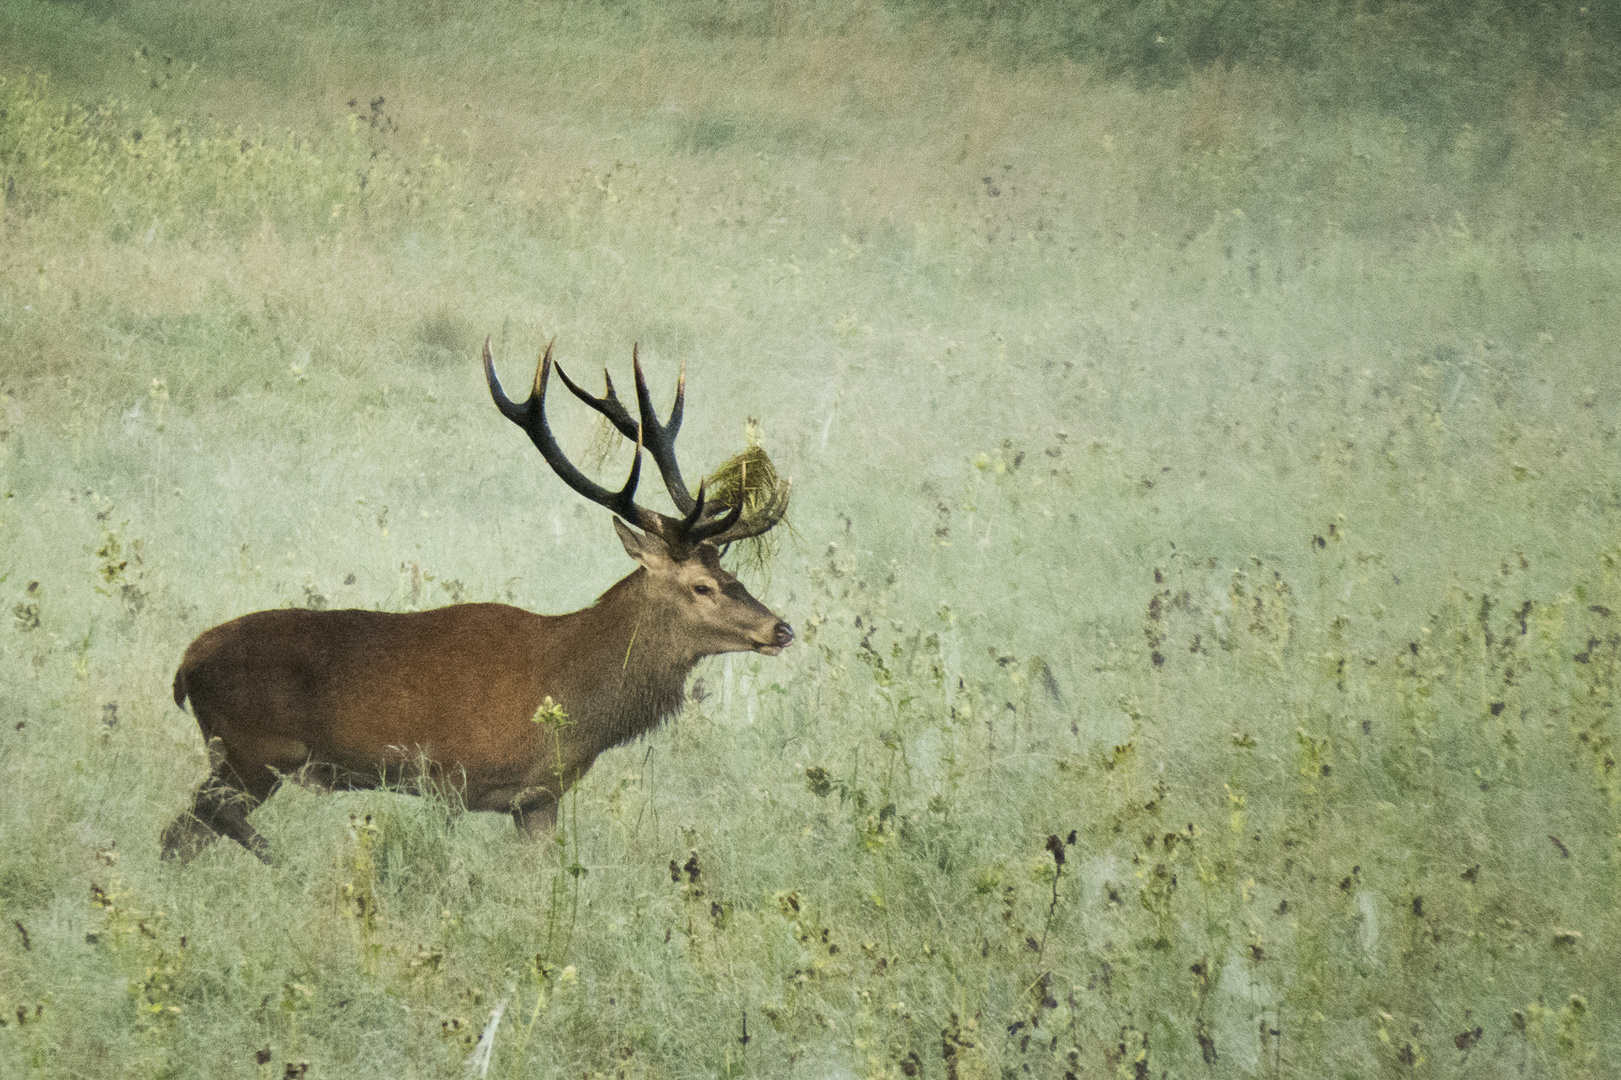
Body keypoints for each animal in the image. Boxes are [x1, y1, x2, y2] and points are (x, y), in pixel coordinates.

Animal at [161, 334, 794, 856]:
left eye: (731, 573)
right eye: (701, 585)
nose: (781, 628)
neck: (569, 691)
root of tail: (184, 668)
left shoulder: (538, 798)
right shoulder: (445, 776)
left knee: (183, 834)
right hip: (249, 749)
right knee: (197, 824)